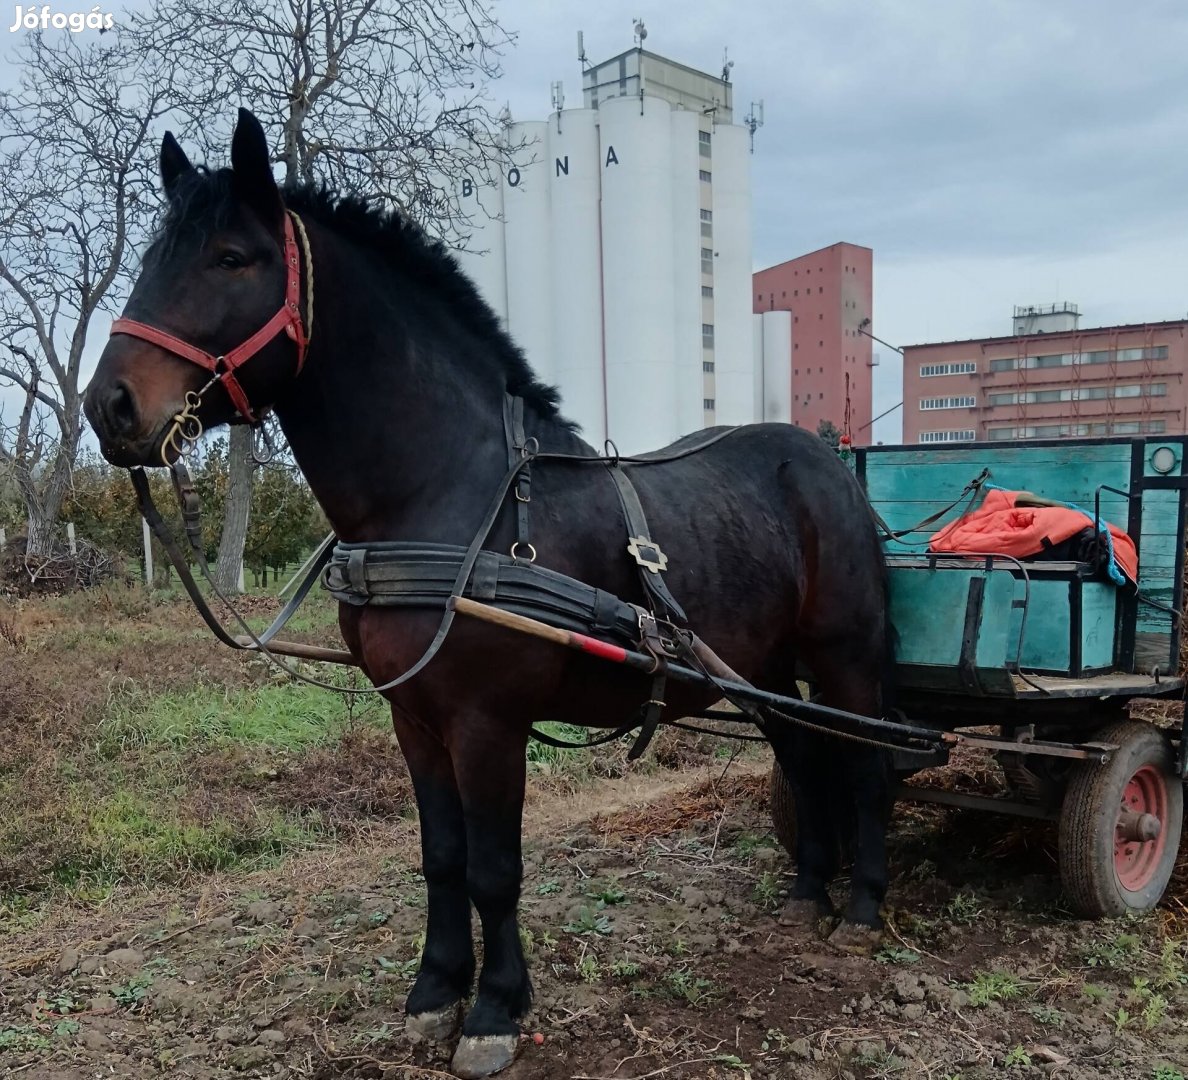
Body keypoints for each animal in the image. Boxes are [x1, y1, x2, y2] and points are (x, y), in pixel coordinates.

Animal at [83, 109, 893, 1078]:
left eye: (232, 257)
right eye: (153, 258)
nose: (110, 407)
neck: (447, 494)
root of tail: (826, 459)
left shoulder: (486, 720)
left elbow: (494, 867)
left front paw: (496, 1010)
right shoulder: (413, 715)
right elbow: (441, 855)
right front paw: (435, 991)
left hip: (843, 659)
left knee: (870, 764)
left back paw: (864, 908)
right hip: (760, 670)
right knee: (806, 759)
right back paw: (809, 892)